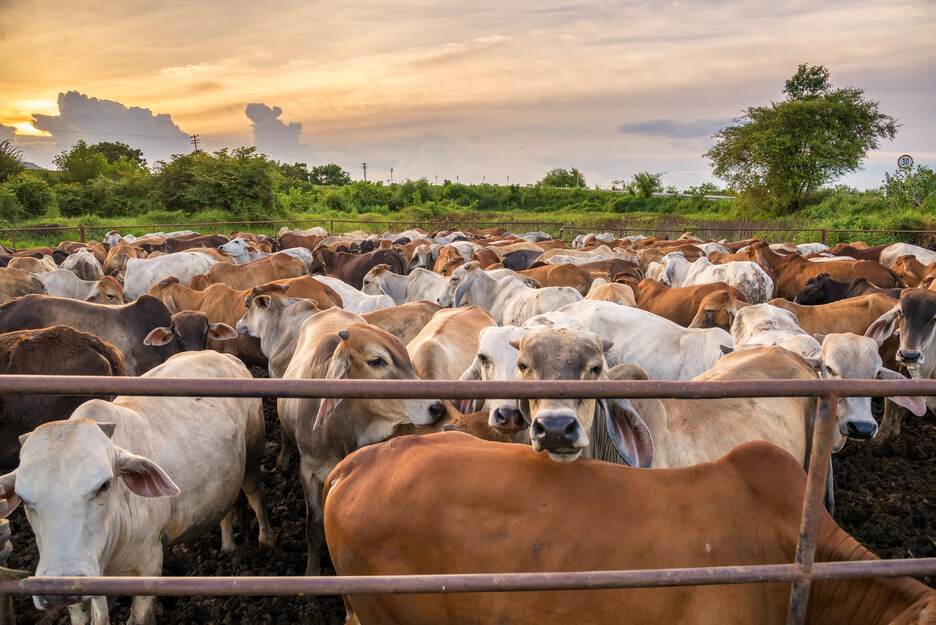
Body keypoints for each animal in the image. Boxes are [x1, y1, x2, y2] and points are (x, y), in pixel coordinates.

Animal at [0, 352, 274, 624]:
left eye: (103, 485)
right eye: (23, 499)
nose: (56, 590)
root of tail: (224, 355)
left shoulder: (150, 561)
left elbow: (140, 616)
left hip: (252, 455)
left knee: (254, 493)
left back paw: (266, 540)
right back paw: (228, 546)